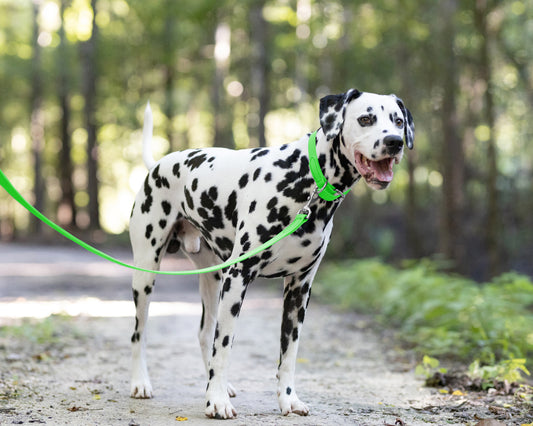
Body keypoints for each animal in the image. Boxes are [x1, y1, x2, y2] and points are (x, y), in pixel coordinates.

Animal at [128, 88, 412, 418]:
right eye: (366, 118)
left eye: (398, 120)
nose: (394, 141)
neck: (306, 179)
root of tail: (159, 164)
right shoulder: (238, 278)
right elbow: (225, 345)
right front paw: (216, 402)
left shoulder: (298, 290)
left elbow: (288, 354)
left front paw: (288, 400)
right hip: (146, 275)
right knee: (140, 333)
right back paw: (141, 383)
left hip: (212, 279)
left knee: (204, 333)